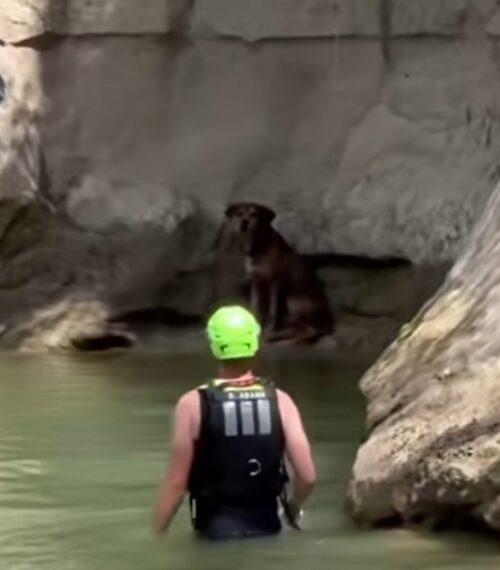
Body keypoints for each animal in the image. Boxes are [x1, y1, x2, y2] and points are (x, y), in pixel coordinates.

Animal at [224, 202, 334, 345]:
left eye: (255, 214)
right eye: (239, 213)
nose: (244, 222)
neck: (260, 247)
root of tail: (327, 322)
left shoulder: (274, 284)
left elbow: (273, 313)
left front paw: (268, 331)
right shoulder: (255, 283)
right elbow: (254, 308)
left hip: (293, 302)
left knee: (311, 331)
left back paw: (284, 341)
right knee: (302, 329)